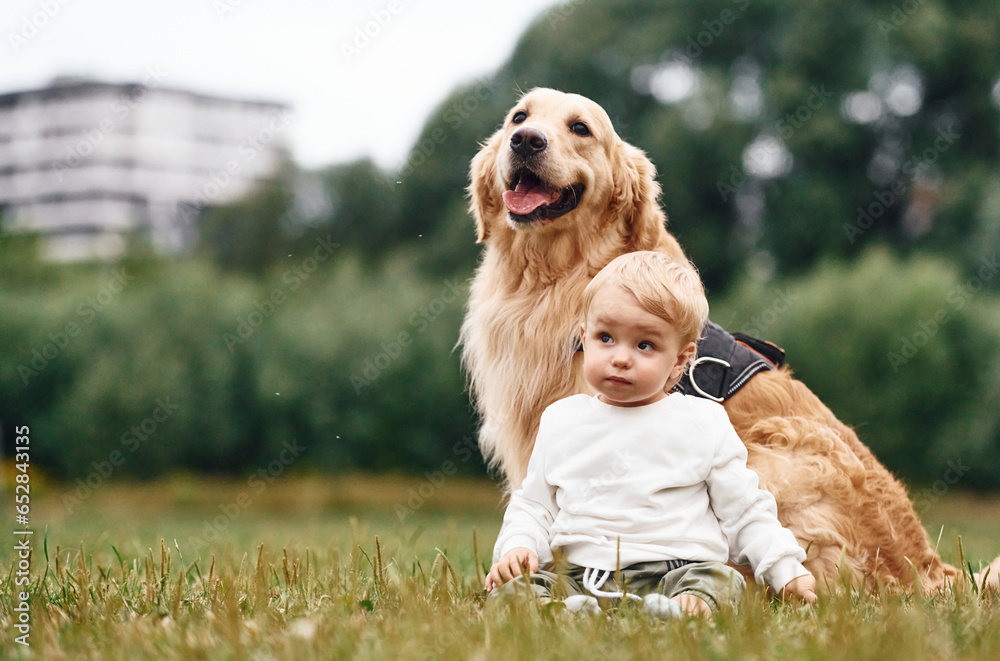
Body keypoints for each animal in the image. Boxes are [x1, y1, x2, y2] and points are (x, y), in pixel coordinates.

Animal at [460, 86, 960, 588]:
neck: (554, 279)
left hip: (772, 452)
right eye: (518, 117)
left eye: (580, 128)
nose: (526, 140)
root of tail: (929, 571)